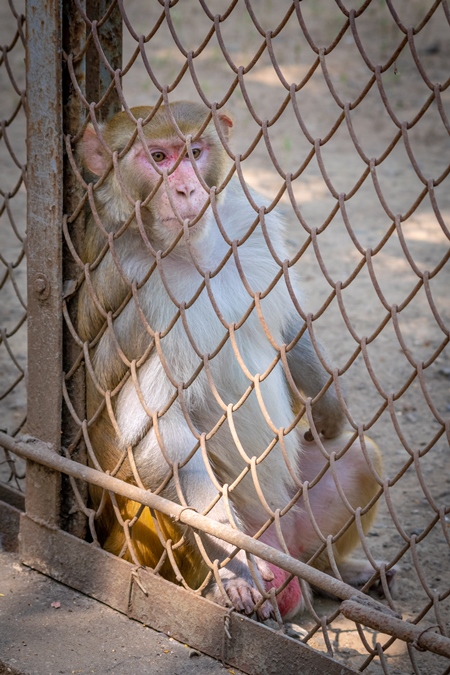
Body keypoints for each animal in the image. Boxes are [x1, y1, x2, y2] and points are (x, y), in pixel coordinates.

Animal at [77, 97, 386, 620]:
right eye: (158, 158)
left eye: (194, 151)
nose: (186, 189)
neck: (194, 251)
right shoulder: (145, 300)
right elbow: (160, 435)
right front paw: (234, 569)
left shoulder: (249, 226)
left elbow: (286, 325)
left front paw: (329, 411)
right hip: (150, 544)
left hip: (297, 522)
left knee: (362, 456)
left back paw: (338, 573)